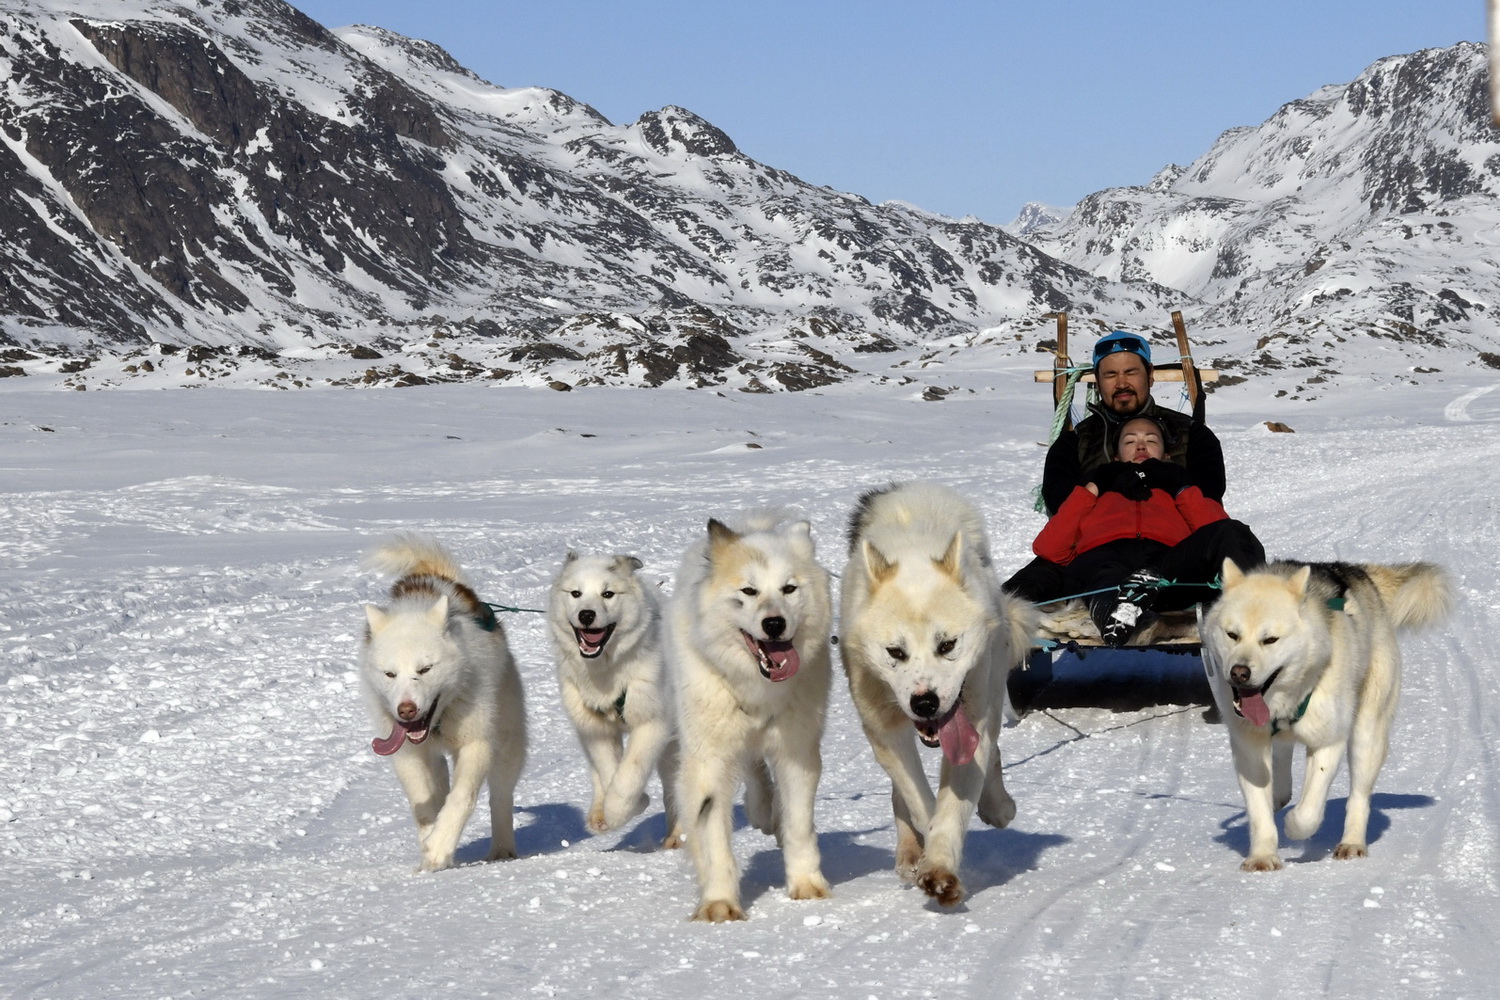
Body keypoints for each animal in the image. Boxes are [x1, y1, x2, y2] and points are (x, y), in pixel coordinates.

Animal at [357, 536, 528, 869]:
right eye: (389, 674)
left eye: (425, 669)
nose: (406, 710)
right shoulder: (409, 757)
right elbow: (424, 808)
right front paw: (430, 847)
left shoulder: (477, 744)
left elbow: (462, 798)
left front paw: (439, 846)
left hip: (508, 739)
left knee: (500, 797)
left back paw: (502, 849)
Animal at [549, 551, 684, 851]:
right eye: (576, 593)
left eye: (608, 593)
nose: (587, 614)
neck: (606, 672)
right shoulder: (596, 728)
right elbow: (609, 770)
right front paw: (617, 809)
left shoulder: (652, 723)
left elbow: (628, 775)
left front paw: (622, 809)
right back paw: (597, 814)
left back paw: (676, 836)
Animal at [666, 512, 834, 929]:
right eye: (748, 591)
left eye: (789, 589)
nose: (774, 624)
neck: (757, 689)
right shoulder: (709, 762)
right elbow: (713, 840)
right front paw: (719, 904)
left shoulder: (797, 753)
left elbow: (799, 825)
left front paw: (807, 885)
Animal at [840, 482, 1038, 905]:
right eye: (895, 652)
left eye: (947, 645)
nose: (925, 702)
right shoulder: (885, 731)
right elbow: (918, 801)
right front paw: (925, 854)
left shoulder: (972, 720)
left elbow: (953, 805)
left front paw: (939, 868)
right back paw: (908, 852)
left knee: (993, 750)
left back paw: (998, 806)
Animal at [1206, 560, 1452, 869]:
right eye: (1232, 635)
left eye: (1270, 640)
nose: (1239, 672)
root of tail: (1356, 570)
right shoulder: (1249, 747)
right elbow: (1259, 808)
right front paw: (1262, 856)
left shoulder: (1328, 742)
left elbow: (1309, 811)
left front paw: (1293, 826)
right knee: (1282, 764)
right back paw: (1280, 794)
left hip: (1366, 736)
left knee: (1358, 796)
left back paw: (1352, 842)